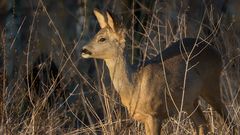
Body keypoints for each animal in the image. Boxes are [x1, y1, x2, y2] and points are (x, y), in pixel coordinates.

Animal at [81, 10, 234, 134]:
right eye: (96, 34)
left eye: (102, 38)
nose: (83, 50)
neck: (134, 85)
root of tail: (216, 52)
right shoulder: (144, 118)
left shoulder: (154, 114)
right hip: (190, 101)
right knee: (203, 124)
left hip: (212, 86)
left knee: (229, 120)